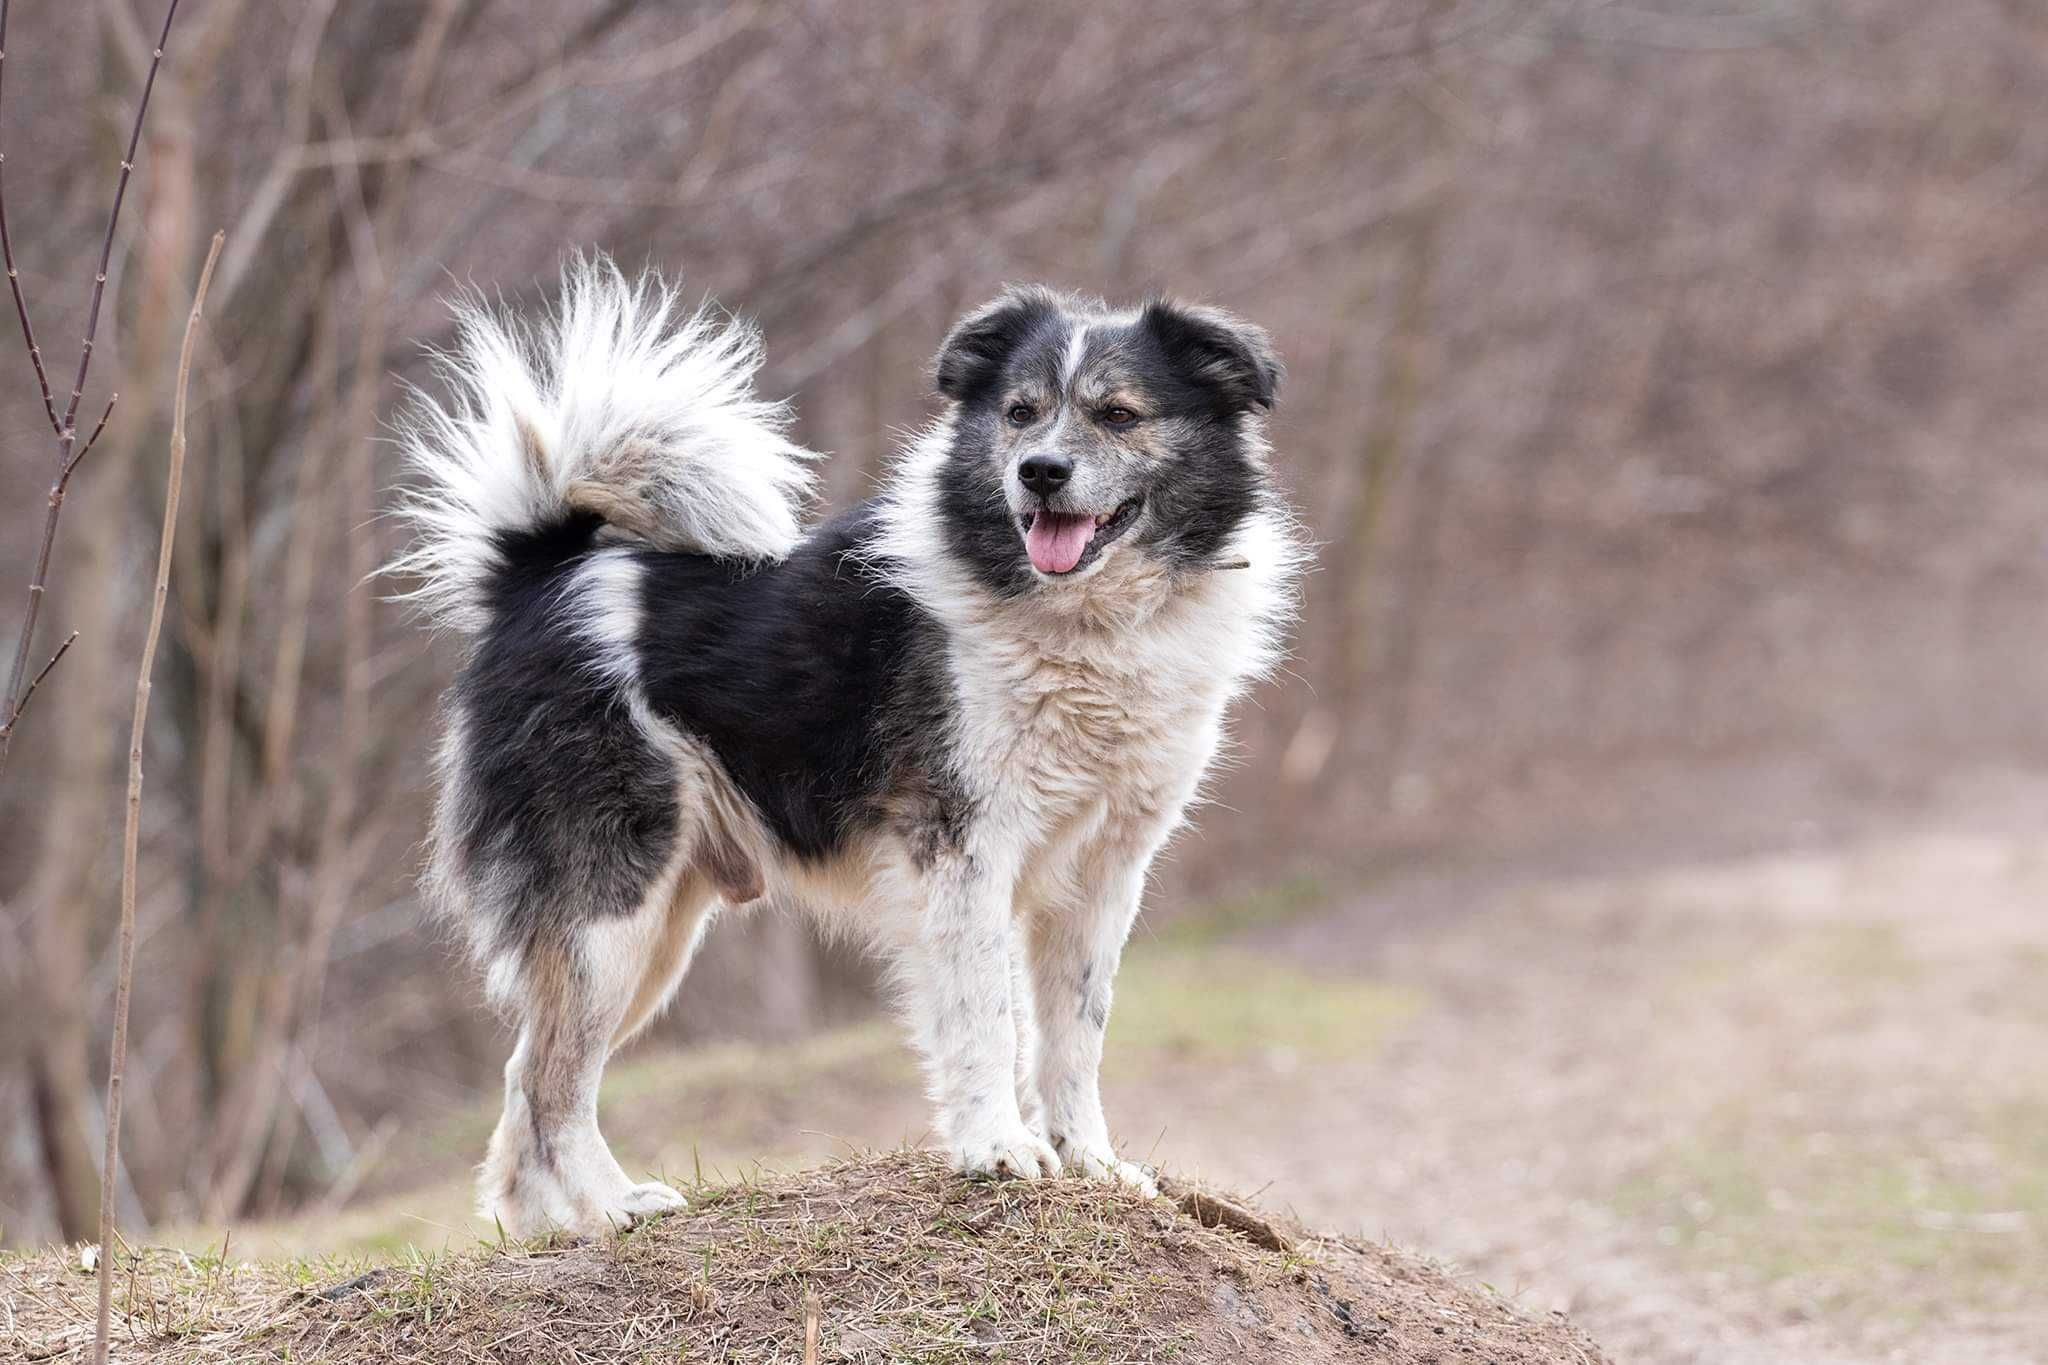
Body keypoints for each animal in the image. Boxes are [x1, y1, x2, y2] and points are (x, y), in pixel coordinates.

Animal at [391, 261, 1302, 1244]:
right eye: (1020, 413)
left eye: (1120, 414)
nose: (1039, 473)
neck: (1080, 625)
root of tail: (537, 574)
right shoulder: (961, 849)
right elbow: (987, 1020)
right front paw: (998, 1150)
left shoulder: (1103, 873)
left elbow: (1073, 1037)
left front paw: (1090, 1164)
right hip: (612, 911)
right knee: (549, 1080)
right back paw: (613, 1207)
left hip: (655, 929)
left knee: (524, 1082)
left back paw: (555, 1230)